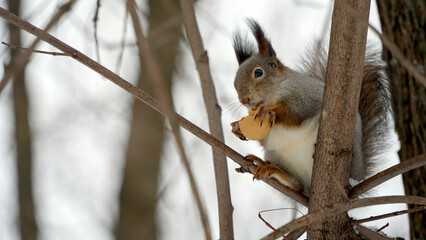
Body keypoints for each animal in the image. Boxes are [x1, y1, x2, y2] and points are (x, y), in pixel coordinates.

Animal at [231, 19, 392, 196]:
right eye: (234, 83)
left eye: (258, 73)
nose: (244, 100)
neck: (271, 97)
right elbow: (263, 137)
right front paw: (237, 127)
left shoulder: (303, 95)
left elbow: (295, 112)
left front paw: (269, 112)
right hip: (277, 155)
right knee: (298, 185)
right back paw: (272, 170)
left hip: (352, 147)